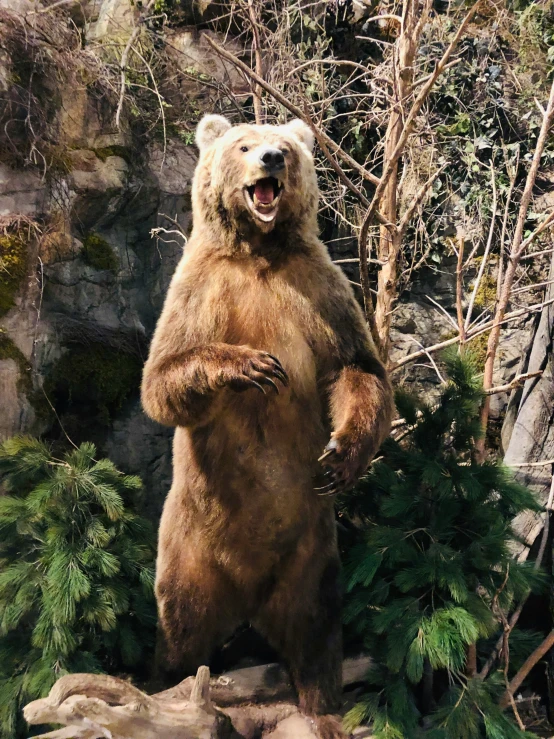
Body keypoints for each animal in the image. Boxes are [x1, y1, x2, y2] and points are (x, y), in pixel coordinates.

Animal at [141, 115, 392, 739]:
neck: (258, 252)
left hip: (310, 558)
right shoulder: (198, 290)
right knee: (180, 629)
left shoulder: (319, 289)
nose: (273, 159)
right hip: (189, 552)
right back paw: (163, 686)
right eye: (243, 144)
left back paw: (323, 709)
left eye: (287, 146)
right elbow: (162, 379)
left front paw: (339, 455)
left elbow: (357, 367)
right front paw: (252, 366)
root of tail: (250, 598)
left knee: (317, 632)